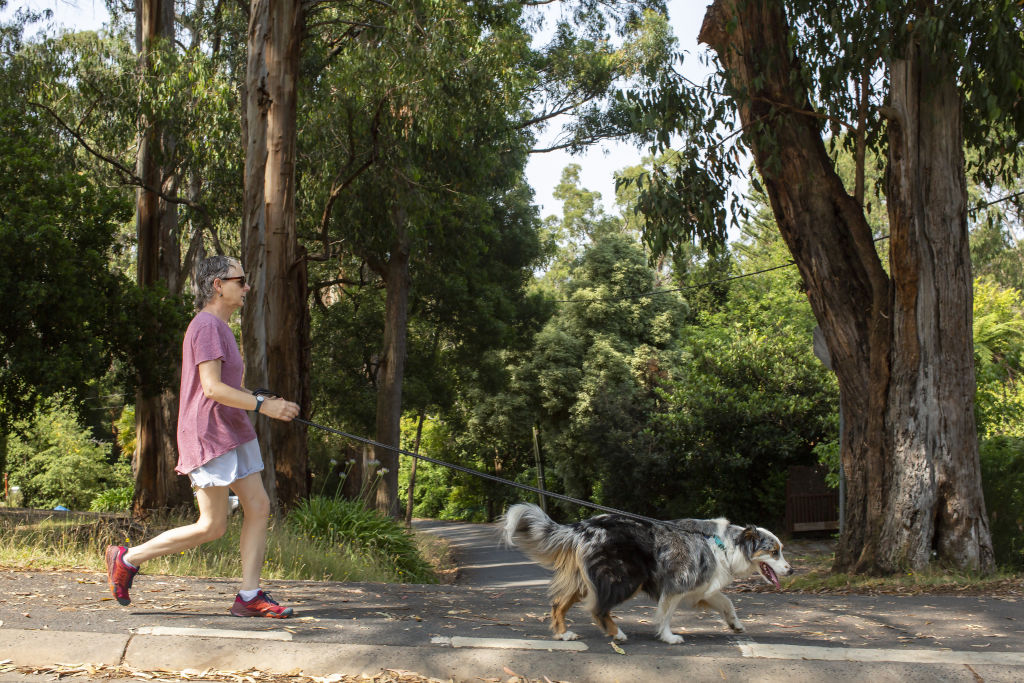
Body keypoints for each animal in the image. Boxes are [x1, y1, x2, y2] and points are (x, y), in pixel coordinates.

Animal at [499, 505, 794, 643]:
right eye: (775, 551)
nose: (791, 570)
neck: (726, 544)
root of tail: (583, 526)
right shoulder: (677, 584)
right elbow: (665, 614)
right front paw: (668, 636)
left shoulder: (702, 589)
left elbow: (727, 602)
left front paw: (735, 624)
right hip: (626, 577)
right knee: (597, 608)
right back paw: (616, 633)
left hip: (586, 581)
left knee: (558, 604)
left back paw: (563, 634)